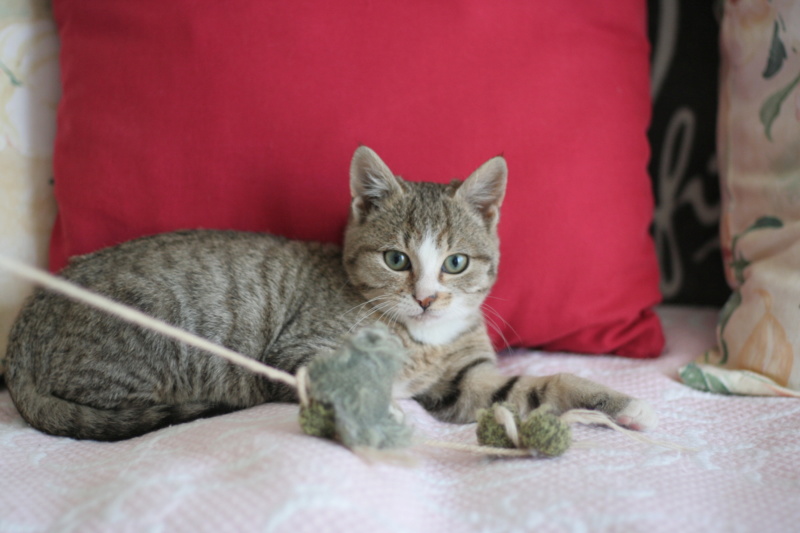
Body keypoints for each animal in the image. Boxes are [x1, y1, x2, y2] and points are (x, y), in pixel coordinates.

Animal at [6, 147, 656, 440]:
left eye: (455, 263)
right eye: (396, 259)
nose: (426, 297)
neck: (420, 337)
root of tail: (21, 336)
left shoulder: (461, 382)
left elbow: (536, 386)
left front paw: (614, 403)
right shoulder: (302, 353)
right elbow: (357, 377)